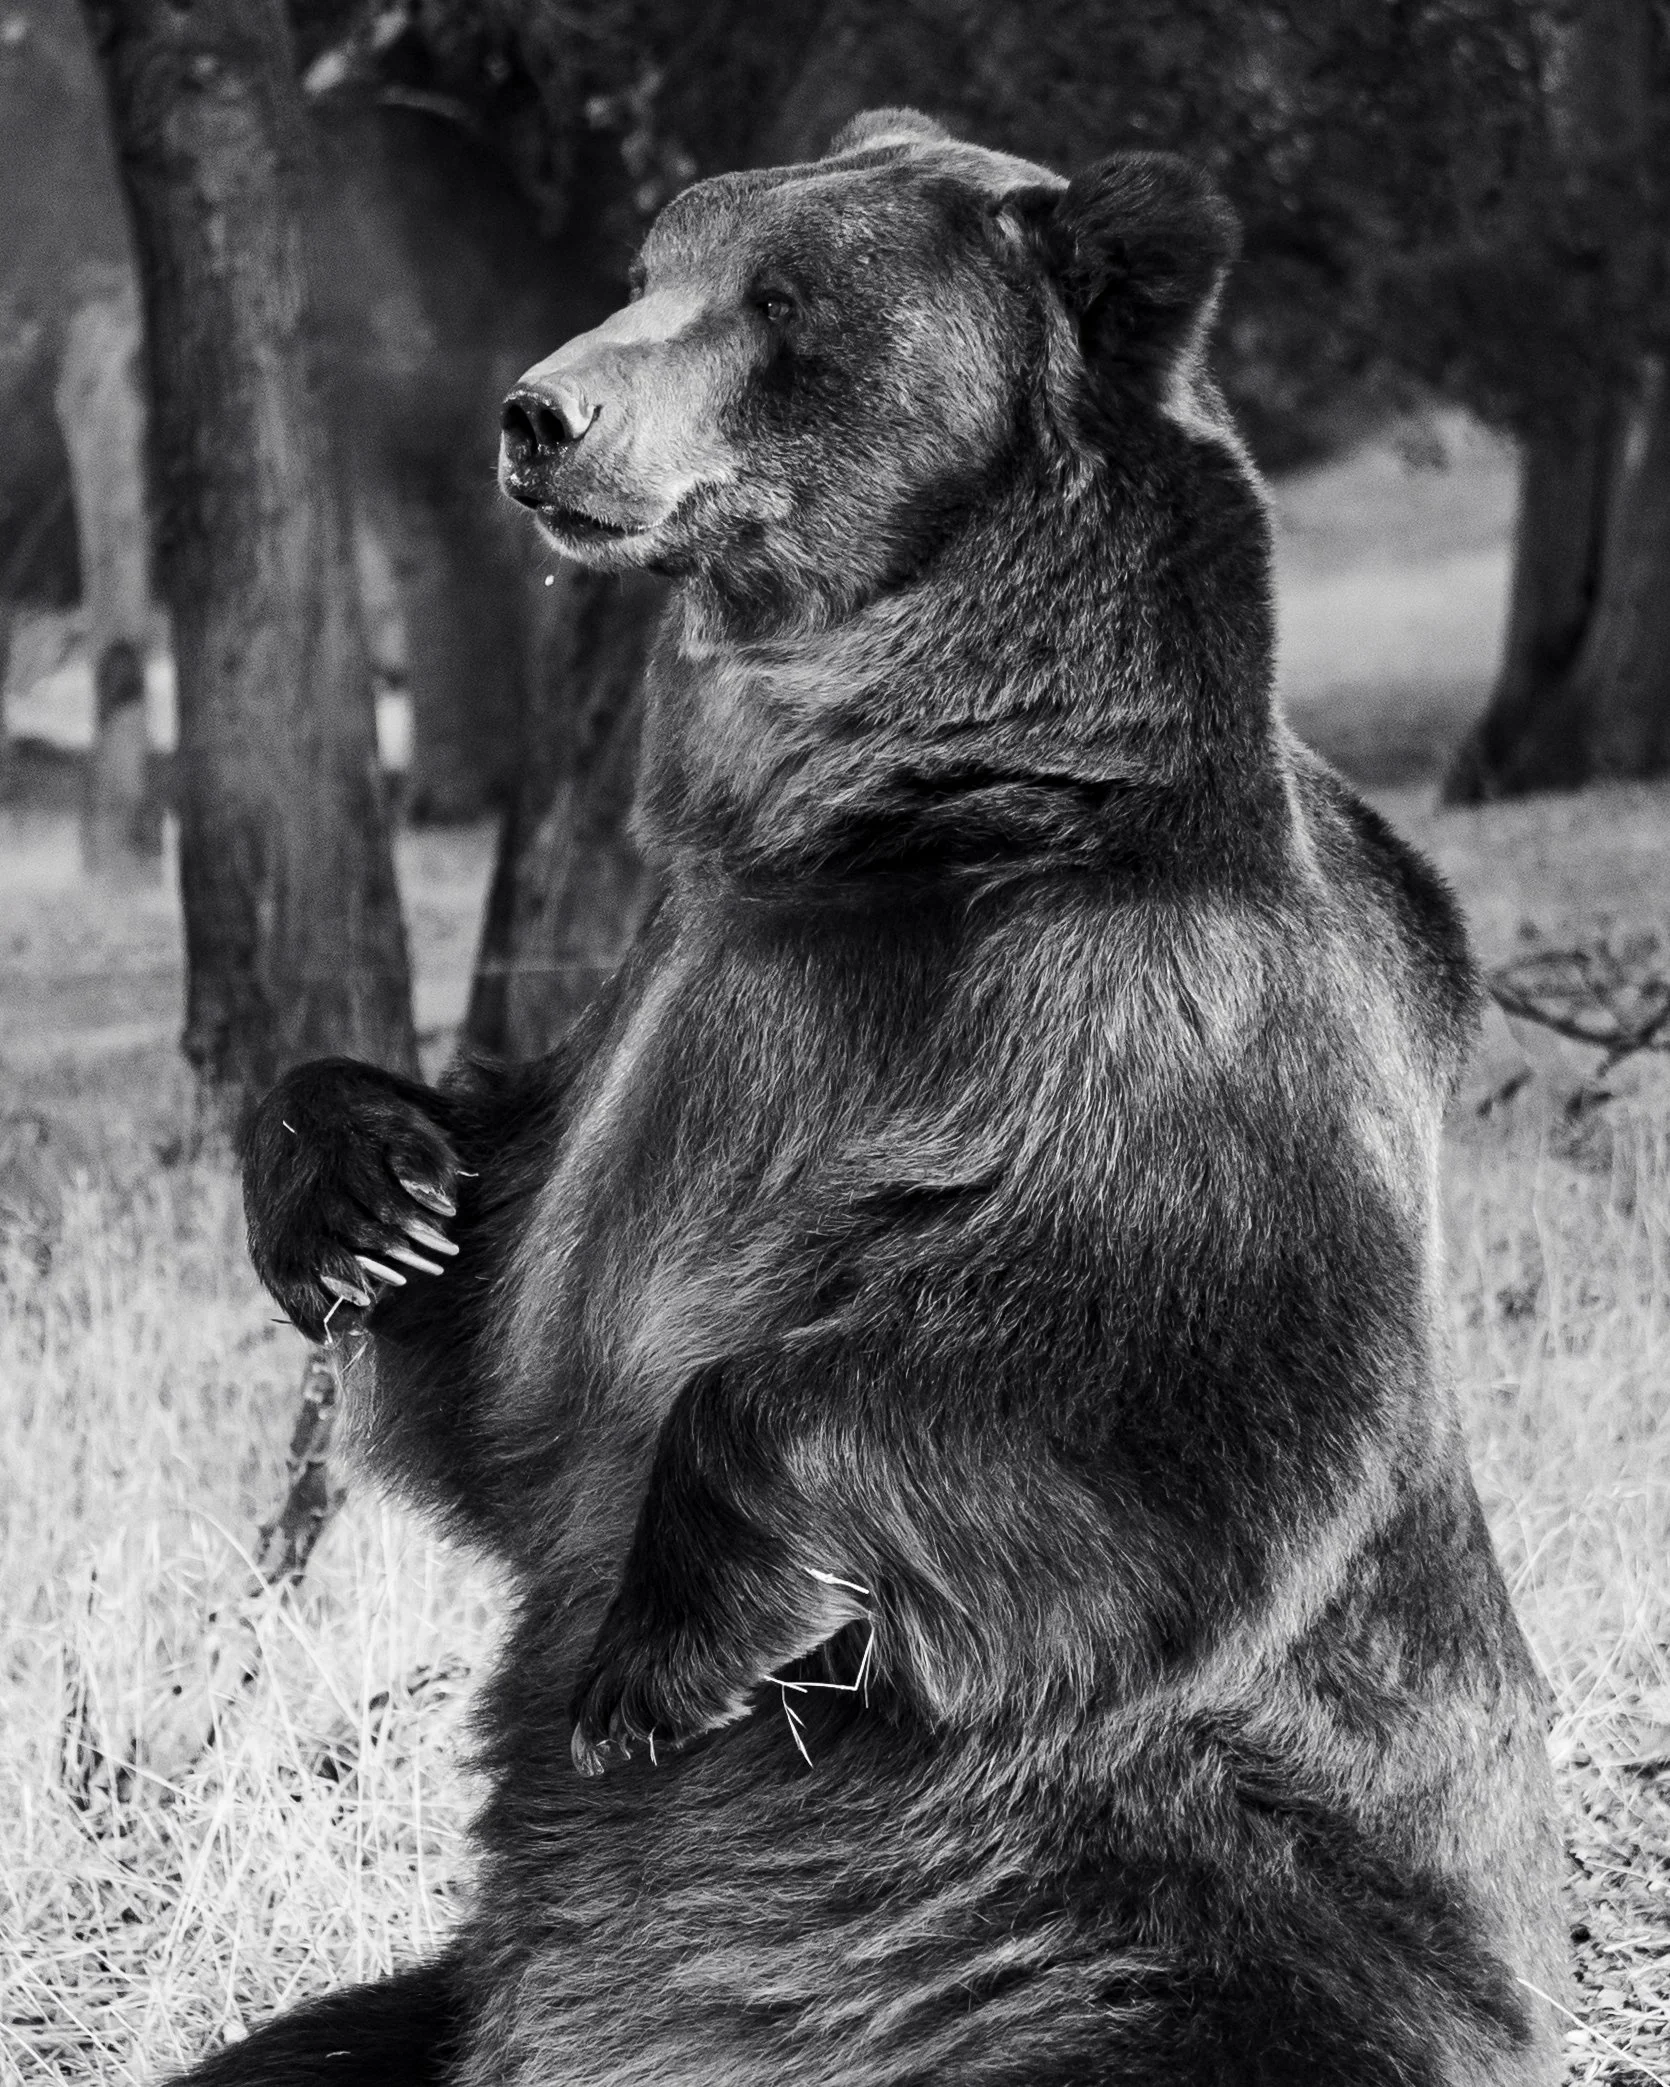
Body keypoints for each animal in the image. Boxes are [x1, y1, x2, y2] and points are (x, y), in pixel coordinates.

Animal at [193, 109, 1568, 2086]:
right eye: (651, 263)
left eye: (784, 304)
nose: (539, 414)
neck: (887, 819)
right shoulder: (669, 1004)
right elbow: (500, 1264)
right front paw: (368, 1197)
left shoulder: (1145, 1011)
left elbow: (1178, 1380)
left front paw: (660, 1653)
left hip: (1142, 1907)